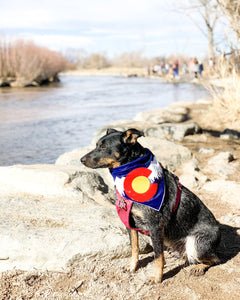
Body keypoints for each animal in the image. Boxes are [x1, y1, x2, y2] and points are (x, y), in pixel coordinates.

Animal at [81, 127, 221, 282]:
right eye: (96, 145)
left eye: (104, 147)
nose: (81, 160)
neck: (130, 176)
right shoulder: (130, 223)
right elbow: (134, 248)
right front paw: (132, 266)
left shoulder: (155, 226)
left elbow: (158, 256)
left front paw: (156, 277)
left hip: (196, 243)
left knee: (215, 259)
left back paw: (198, 267)